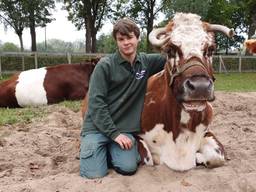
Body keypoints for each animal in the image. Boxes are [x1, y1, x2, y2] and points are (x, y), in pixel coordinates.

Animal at [137, 12, 235, 170]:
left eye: (210, 49)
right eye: (170, 50)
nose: (200, 86)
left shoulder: (207, 132)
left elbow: (217, 157)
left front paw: (198, 158)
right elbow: (148, 159)